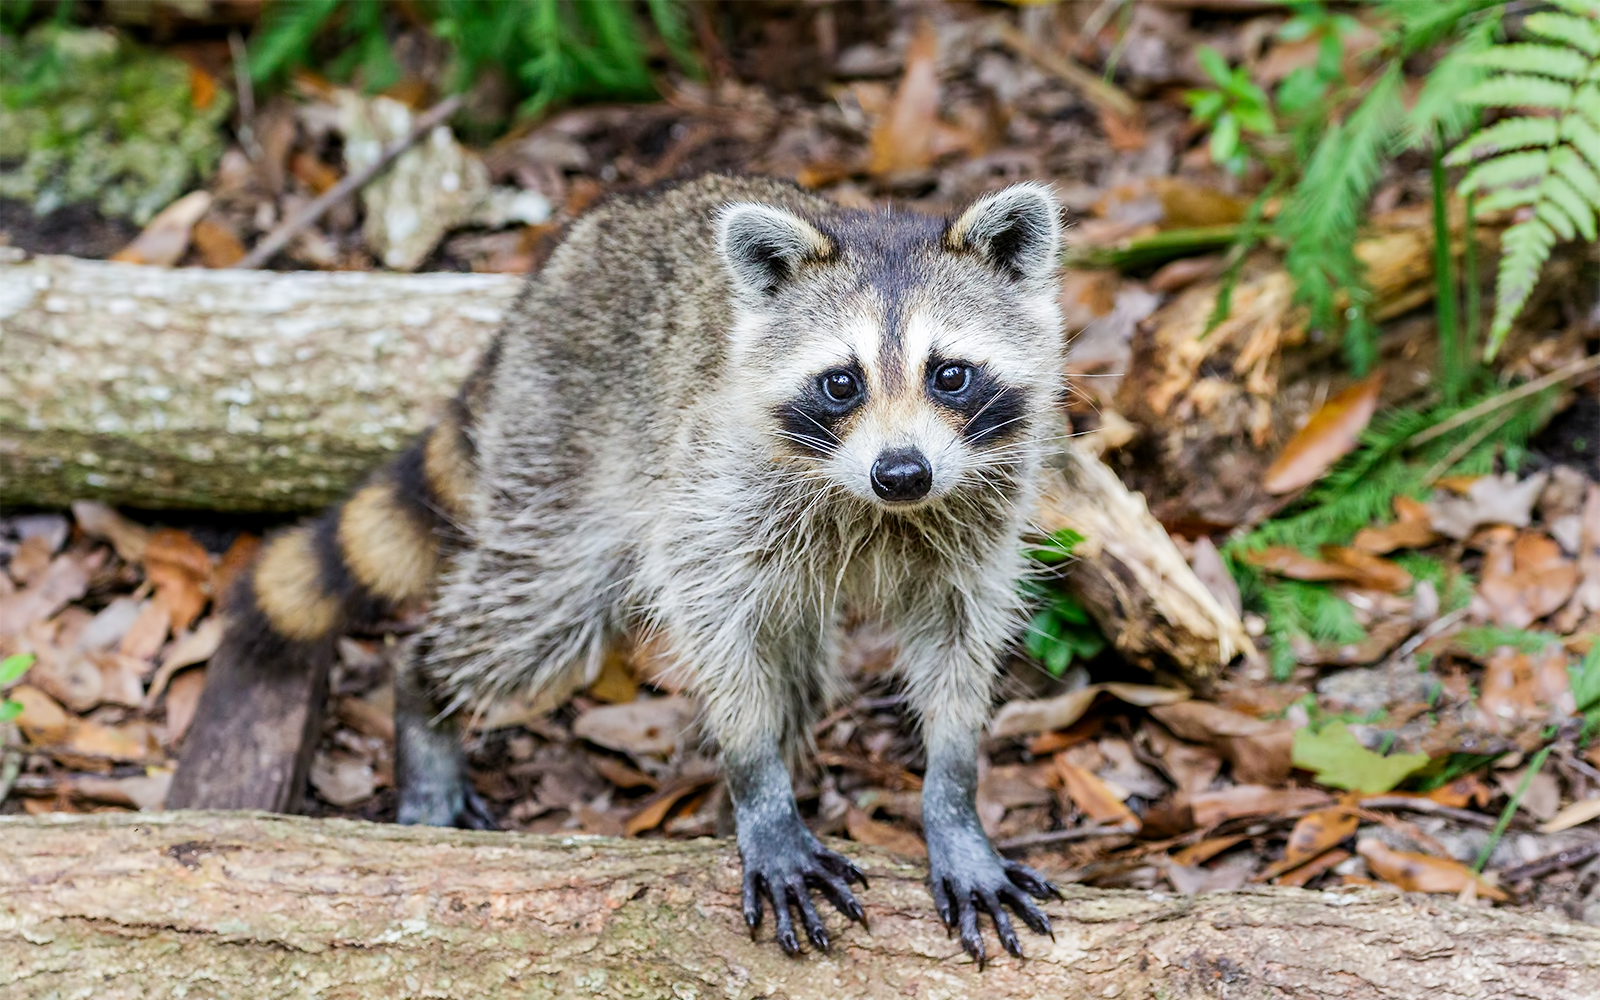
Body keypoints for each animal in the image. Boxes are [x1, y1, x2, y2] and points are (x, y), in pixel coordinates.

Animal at [181, 174, 1067, 962]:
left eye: (948, 373)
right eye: (841, 382)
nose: (902, 473)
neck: (879, 508)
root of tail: (559, 267)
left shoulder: (976, 519)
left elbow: (959, 645)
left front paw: (952, 799)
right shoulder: (716, 489)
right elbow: (713, 626)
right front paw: (759, 788)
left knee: (795, 664)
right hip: (567, 449)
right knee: (533, 610)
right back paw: (425, 692)